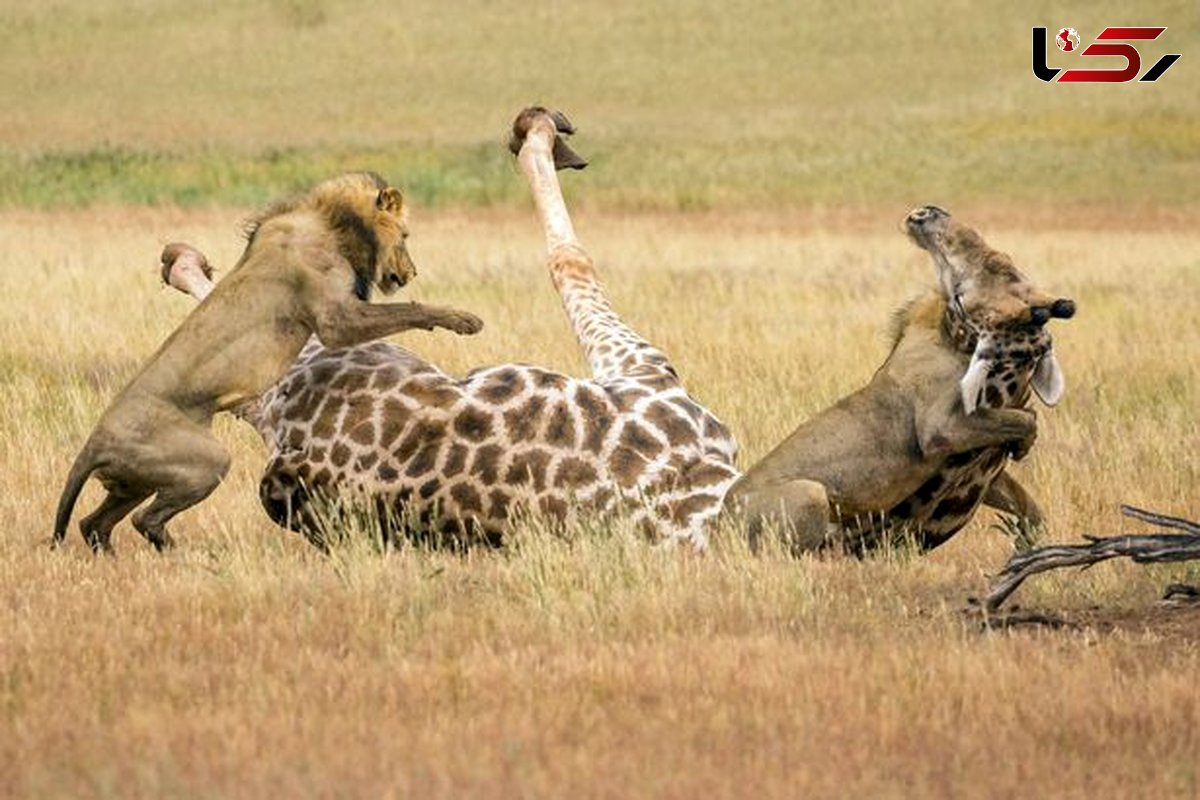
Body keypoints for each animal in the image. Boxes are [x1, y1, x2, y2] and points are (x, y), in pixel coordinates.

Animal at [51, 172, 482, 554]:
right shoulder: (336, 319)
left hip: (133, 483)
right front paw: (464, 319)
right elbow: (410, 309)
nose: (411, 272)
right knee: (144, 520)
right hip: (206, 460)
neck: (333, 223)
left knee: (93, 523)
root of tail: (94, 442)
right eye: (405, 236)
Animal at [720, 206, 1080, 554]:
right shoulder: (940, 429)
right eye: (996, 264)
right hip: (811, 493)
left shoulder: (978, 465)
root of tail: (716, 523)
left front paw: (1029, 538)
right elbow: (1023, 419)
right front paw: (1024, 443)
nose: (931, 212)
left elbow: (1025, 499)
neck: (958, 338)